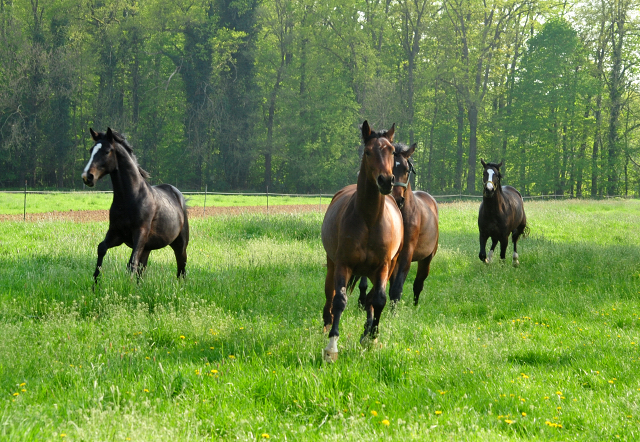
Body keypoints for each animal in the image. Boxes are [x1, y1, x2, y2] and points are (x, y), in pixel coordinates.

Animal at [81, 128, 189, 284]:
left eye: (107, 151)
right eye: (91, 150)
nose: (87, 177)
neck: (130, 198)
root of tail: (179, 196)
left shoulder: (140, 232)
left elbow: (132, 262)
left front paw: (128, 287)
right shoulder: (116, 233)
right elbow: (101, 248)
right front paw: (95, 284)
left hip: (180, 244)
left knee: (181, 268)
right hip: (147, 248)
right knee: (142, 269)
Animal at [320, 120, 404, 362]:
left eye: (391, 151)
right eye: (368, 152)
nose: (386, 181)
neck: (369, 219)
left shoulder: (383, 266)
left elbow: (379, 300)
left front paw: (371, 337)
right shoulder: (343, 264)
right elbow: (339, 300)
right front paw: (331, 347)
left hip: (384, 268)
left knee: (371, 300)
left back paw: (367, 330)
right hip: (332, 264)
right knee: (330, 295)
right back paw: (326, 323)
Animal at [358, 143, 438, 306]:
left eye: (407, 170)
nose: (396, 198)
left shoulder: (406, 252)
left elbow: (397, 288)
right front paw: (362, 300)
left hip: (427, 258)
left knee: (418, 284)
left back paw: (415, 306)